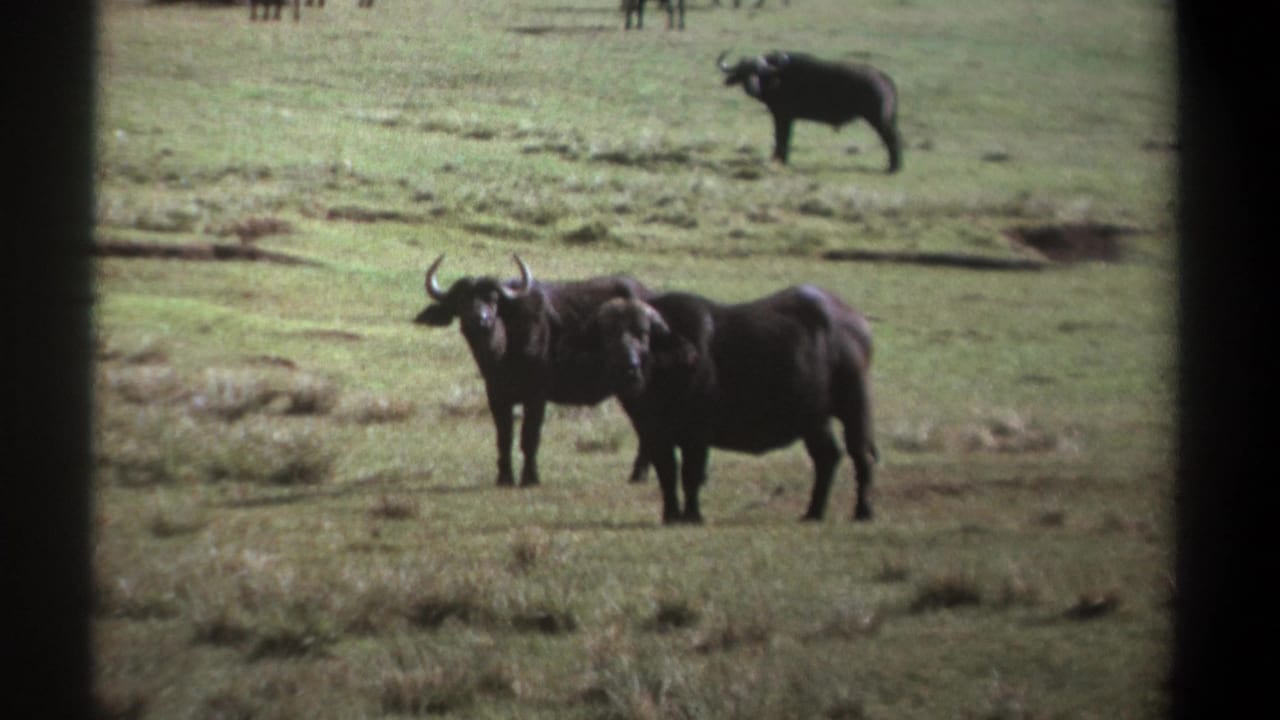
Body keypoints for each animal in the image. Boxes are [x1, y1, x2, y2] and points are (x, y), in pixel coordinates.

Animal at [415, 255, 652, 487]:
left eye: (493, 299)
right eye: (462, 300)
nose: (479, 320)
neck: (504, 352)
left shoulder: (536, 396)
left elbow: (529, 437)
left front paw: (530, 477)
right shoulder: (496, 395)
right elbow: (504, 437)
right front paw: (504, 477)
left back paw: (639, 474)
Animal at [582, 286, 877, 524]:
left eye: (643, 334)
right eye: (607, 336)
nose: (628, 367)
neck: (663, 378)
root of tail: (857, 322)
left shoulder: (697, 433)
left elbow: (691, 473)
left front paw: (692, 516)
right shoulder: (653, 434)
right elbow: (667, 474)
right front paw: (670, 515)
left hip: (855, 405)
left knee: (861, 454)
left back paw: (863, 511)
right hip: (814, 419)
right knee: (827, 456)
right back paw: (813, 512)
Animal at [717, 50, 902, 172]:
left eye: (759, 73)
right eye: (742, 73)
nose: (752, 89)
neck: (779, 78)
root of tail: (884, 79)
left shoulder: (784, 116)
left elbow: (782, 137)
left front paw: (780, 159)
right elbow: (780, 137)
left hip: (878, 119)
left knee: (892, 139)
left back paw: (893, 168)